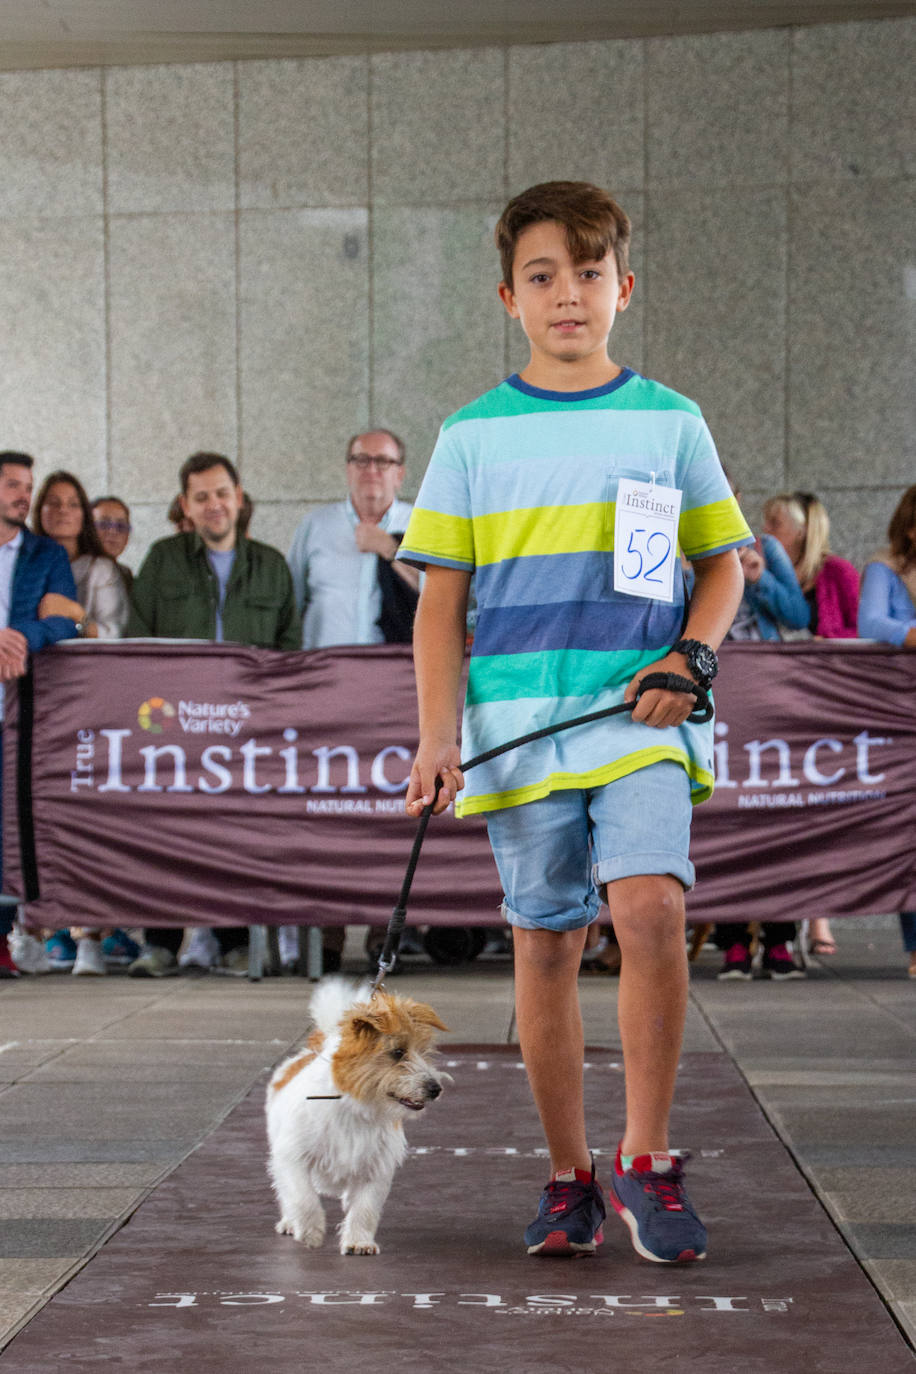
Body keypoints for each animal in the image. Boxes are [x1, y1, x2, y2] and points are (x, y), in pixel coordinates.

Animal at [265, 978, 447, 1258]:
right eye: (397, 1052)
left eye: (424, 1051)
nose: (435, 1089)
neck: (356, 1107)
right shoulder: (293, 1157)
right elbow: (303, 1197)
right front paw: (311, 1230)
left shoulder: (376, 1167)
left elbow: (365, 1208)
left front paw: (359, 1241)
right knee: (286, 1191)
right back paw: (290, 1222)